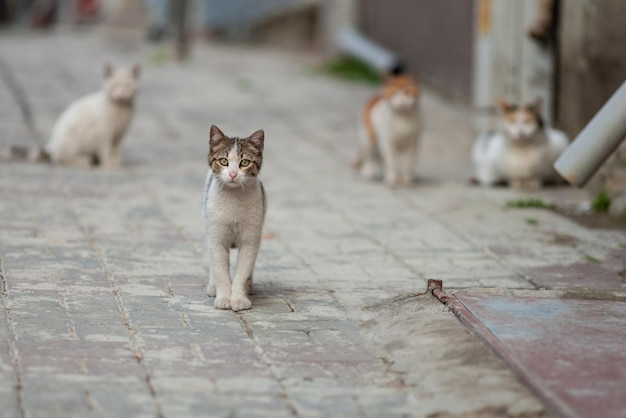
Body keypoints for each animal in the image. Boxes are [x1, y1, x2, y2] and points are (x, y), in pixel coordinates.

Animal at [202, 124, 266, 310]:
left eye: (244, 162)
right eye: (224, 161)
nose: (232, 174)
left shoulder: (250, 239)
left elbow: (243, 271)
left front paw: (238, 298)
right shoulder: (216, 237)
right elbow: (221, 270)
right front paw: (223, 297)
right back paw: (212, 286)